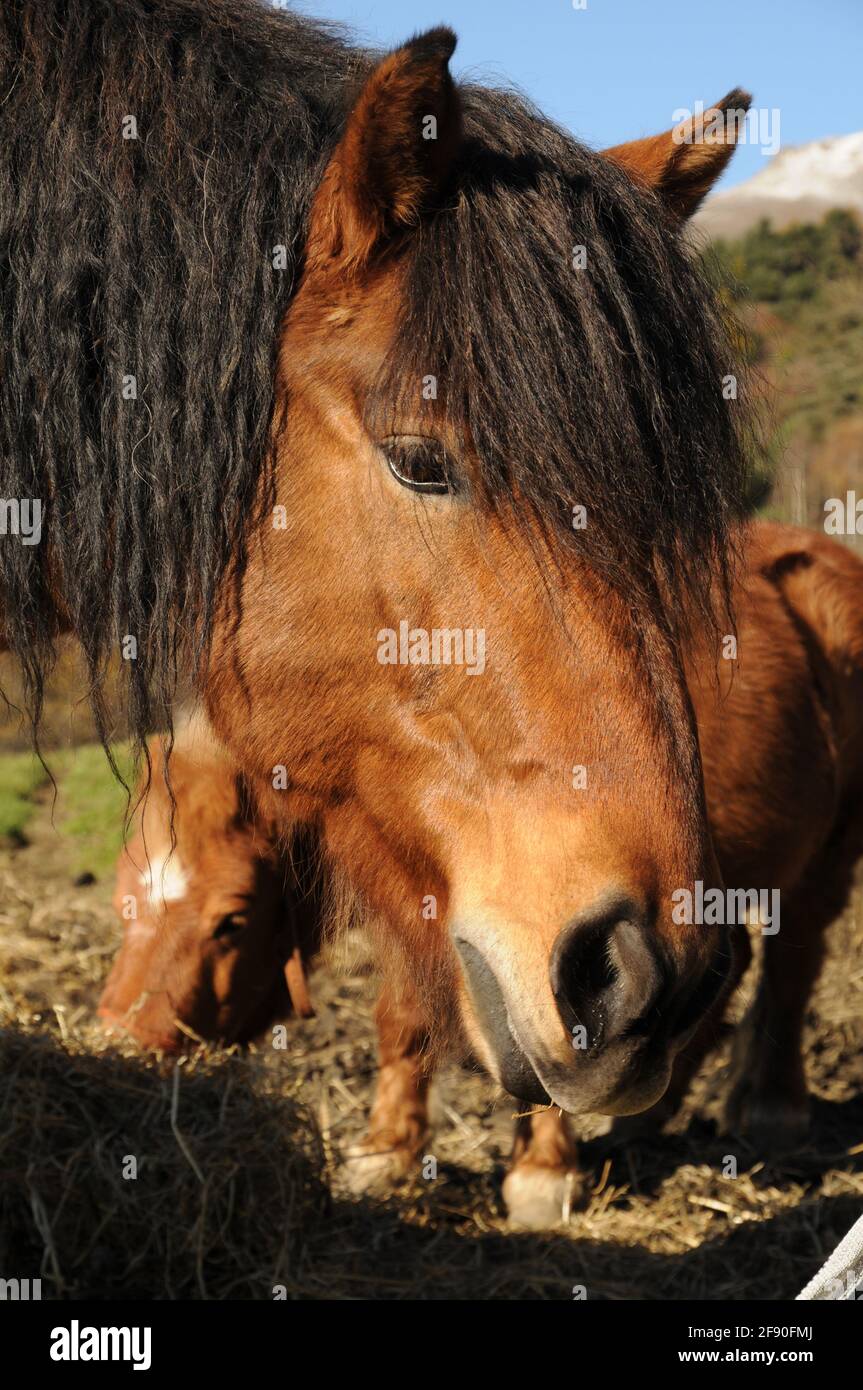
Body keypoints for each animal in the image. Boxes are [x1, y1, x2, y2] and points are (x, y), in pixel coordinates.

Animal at [98, 522, 863, 1227]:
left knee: (794, 965)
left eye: (230, 919)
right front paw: (386, 1151)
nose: (121, 1040)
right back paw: (643, 1122)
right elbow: (404, 1018)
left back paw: (771, 1108)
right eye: (123, 902)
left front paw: (541, 1171)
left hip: (818, 860)